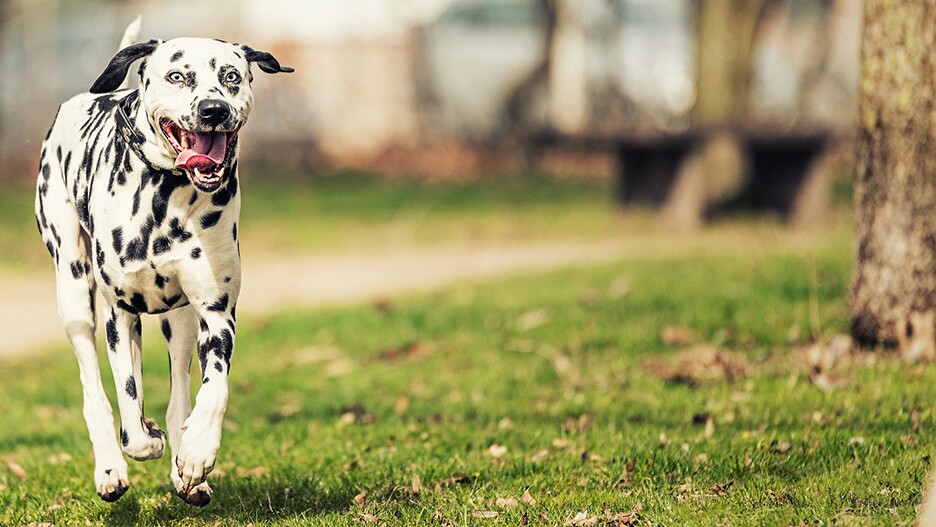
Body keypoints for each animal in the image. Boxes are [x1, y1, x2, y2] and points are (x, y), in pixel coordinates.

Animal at [35, 29, 292, 508]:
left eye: (231, 76)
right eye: (177, 76)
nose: (214, 110)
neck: (164, 196)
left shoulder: (215, 313)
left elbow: (214, 388)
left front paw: (197, 451)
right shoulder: (119, 314)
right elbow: (129, 406)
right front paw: (142, 441)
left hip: (181, 322)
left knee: (177, 396)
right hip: (75, 295)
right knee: (97, 390)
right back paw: (111, 466)